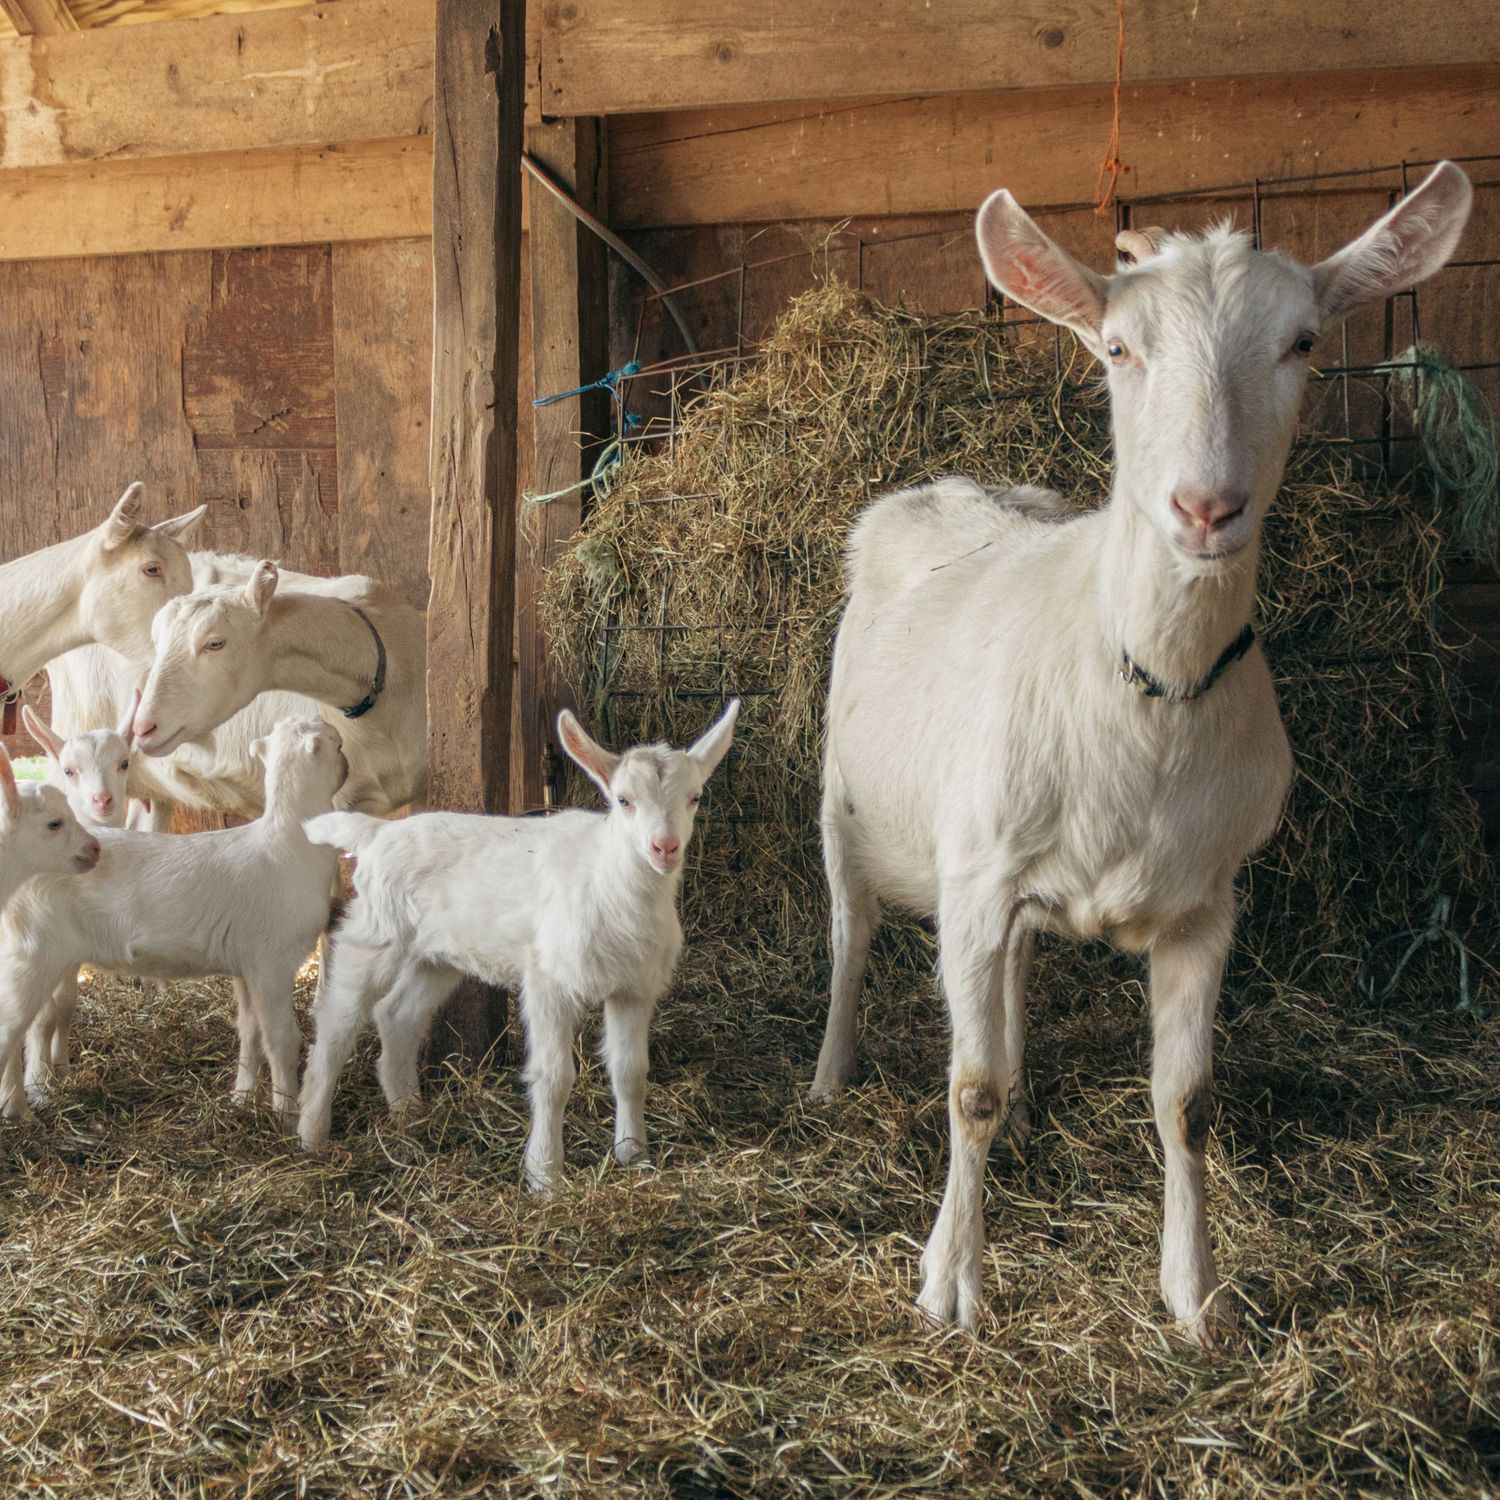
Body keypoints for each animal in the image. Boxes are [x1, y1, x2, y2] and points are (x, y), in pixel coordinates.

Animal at [0, 718, 348, 1126]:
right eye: (339, 745)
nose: (347, 766)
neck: (290, 843)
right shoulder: (272, 962)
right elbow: (281, 1038)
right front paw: (287, 1114)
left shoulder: (246, 964)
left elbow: (250, 1031)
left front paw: (242, 1098)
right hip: (33, 954)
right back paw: (22, 1105)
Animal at [296, 702, 740, 1184]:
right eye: (624, 800)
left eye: (695, 797)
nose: (665, 847)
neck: (606, 879)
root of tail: (377, 832)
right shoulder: (547, 981)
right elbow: (554, 1077)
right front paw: (545, 1174)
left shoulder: (634, 988)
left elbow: (630, 1071)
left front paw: (633, 1155)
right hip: (376, 932)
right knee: (337, 1023)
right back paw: (311, 1134)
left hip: (437, 955)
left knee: (396, 1015)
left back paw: (409, 1115)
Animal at [813, 162, 1473, 1343]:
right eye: (1118, 347)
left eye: (1303, 340)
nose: (1206, 507)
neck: (1147, 697)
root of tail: (947, 487)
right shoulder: (973, 875)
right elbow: (966, 1089)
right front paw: (951, 1284)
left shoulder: (1207, 905)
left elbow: (1186, 1103)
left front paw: (1194, 1293)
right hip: (844, 798)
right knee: (850, 931)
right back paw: (833, 1074)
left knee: (1013, 978)